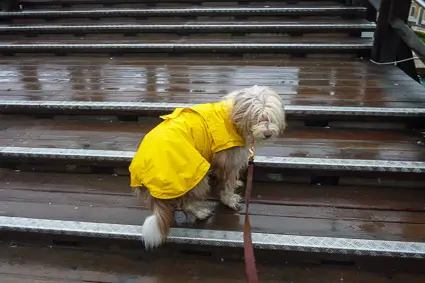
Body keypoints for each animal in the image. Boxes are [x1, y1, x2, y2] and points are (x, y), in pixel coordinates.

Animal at [128, 85, 284, 250]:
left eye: (271, 116)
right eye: (256, 117)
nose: (268, 133)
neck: (233, 117)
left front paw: (236, 184)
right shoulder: (228, 160)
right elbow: (227, 183)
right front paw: (229, 200)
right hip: (196, 174)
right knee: (186, 203)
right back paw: (200, 212)